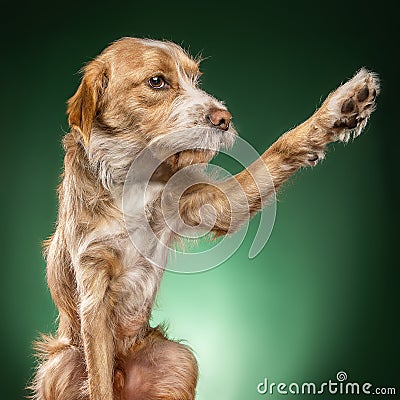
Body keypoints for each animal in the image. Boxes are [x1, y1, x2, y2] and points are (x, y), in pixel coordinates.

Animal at [30, 36, 378, 398]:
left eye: (196, 79)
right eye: (157, 81)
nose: (223, 118)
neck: (133, 178)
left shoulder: (210, 203)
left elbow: (277, 151)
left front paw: (342, 107)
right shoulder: (93, 285)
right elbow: (98, 380)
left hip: (178, 359)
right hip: (60, 365)